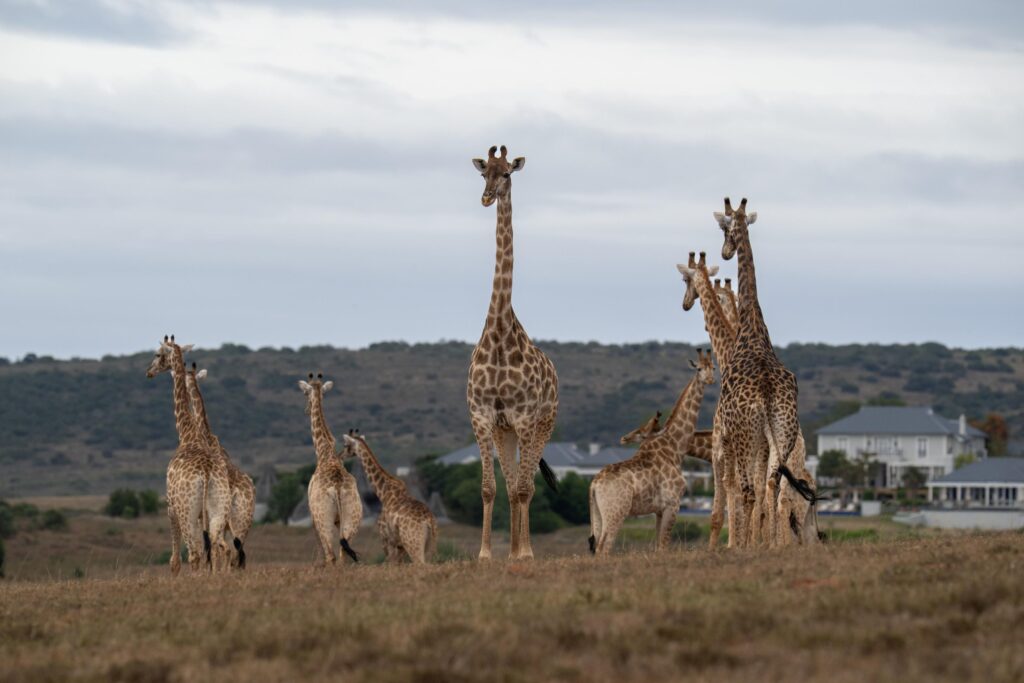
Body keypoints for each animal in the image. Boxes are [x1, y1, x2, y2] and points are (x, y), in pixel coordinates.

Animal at [145, 336, 232, 574]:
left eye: (157, 354)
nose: (148, 371)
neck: (187, 433)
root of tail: (207, 473)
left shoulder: (170, 506)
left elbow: (175, 560)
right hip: (217, 509)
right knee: (221, 547)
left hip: (188, 511)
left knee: (195, 553)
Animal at [298, 373, 362, 566]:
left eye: (305, 393)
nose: (306, 409)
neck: (325, 452)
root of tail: (338, 489)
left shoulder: (313, 517)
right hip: (352, 518)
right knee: (343, 554)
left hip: (323, 520)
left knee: (331, 555)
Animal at [340, 430, 437, 564]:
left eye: (345, 445)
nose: (339, 455)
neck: (383, 493)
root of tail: (429, 521)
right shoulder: (399, 545)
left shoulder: (386, 538)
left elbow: (389, 563)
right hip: (430, 546)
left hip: (413, 544)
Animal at [588, 350, 716, 556]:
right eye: (698, 368)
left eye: (713, 367)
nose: (711, 379)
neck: (674, 447)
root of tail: (593, 485)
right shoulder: (673, 504)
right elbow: (663, 546)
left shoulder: (659, 510)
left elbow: (658, 545)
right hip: (616, 512)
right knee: (603, 548)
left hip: (598, 515)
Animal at [713, 198, 802, 548]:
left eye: (725, 229)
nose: (724, 252)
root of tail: (765, 392)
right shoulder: (767, 440)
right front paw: (764, 541)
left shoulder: (732, 431)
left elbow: (742, 492)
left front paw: (744, 543)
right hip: (782, 431)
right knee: (773, 485)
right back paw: (774, 544)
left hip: (744, 435)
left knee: (750, 490)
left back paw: (744, 546)